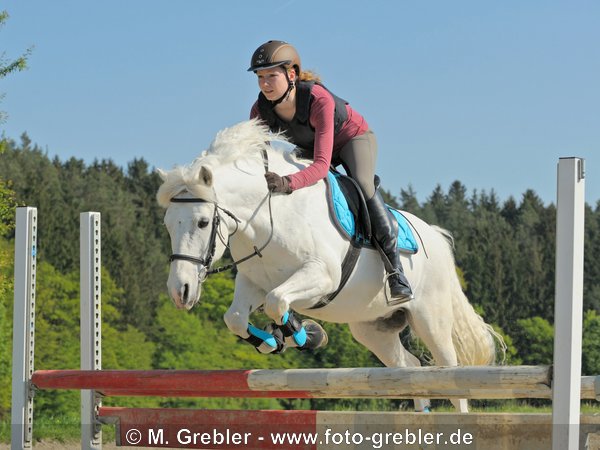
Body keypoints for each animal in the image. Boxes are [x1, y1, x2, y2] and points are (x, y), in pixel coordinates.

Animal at [158, 118, 502, 412]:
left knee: (451, 375)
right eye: (167, 225)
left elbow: (276, 301)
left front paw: (307, 335)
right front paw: (272, 342)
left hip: (430, 318)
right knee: (411, 369)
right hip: (373, 328)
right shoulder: (253, 282)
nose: (180, 291)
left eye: (203, 222)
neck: (267, 215)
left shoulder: (321, 276)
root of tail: (435, 237)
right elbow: (235, 318)